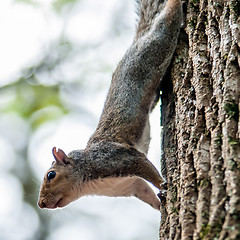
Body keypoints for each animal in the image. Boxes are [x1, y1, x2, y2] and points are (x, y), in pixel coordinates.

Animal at [38, 0, 183, 210]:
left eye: (51, 175)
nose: (40, 203)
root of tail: (135, 42)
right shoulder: (129, 185)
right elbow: (144, 190)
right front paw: (160, 202)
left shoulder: (117, 159)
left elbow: (144, 166)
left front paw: (163, 184)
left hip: (155, 49)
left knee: (165, 26)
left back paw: (174, 4)